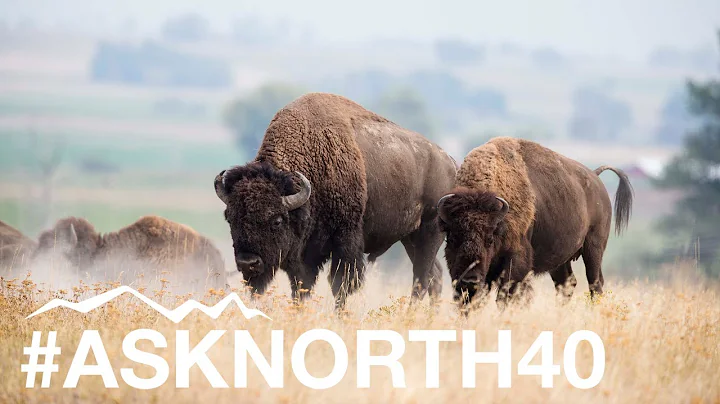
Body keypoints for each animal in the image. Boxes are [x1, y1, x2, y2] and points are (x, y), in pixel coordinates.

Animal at [214, 92, 457, 308]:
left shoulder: (345, 243)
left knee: (421, 279)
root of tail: (450, 162)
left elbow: (340, 286)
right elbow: (300, 288)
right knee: (434, 276)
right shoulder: (305, 255)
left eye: (277, 220)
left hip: (429, 232)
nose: (248, 263)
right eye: (230, 219)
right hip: (410, 237)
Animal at [437, 137, 633, 308]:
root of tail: (595, 177)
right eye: (452, 238)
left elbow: (507, 296)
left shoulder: (516, 260)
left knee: (595, 283)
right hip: (560, 258)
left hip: (594, 247)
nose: (469, 280)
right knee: (566, 284)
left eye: (490, 239)